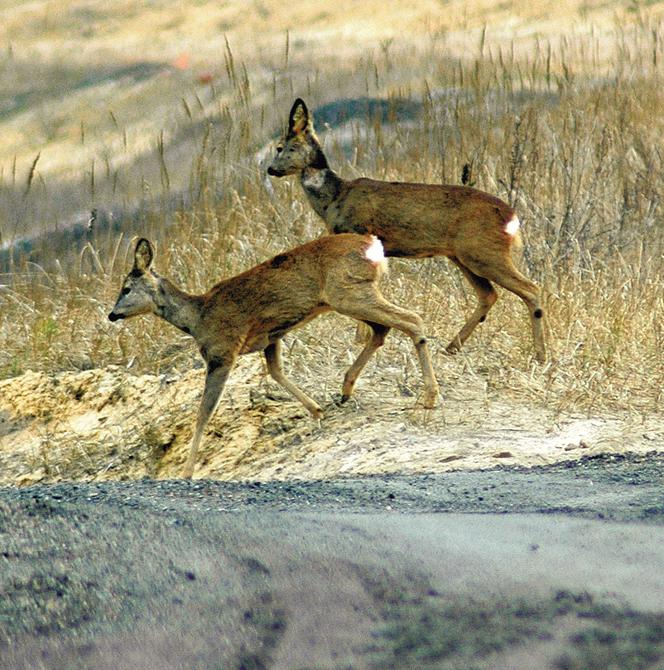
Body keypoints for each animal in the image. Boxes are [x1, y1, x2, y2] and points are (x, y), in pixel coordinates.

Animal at [109, 236, 440, 478]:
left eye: (126, 288)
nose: (112, 315)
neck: (197, 317)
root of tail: (373, 245)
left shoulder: (222, 352)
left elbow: (204, 413)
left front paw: (187, 471)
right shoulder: (271, 337)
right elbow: (276, 372)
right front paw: (317, 410)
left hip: (348, 292)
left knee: (411, 319)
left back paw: (429, 397)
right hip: (349, 296)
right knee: (383, 330)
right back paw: (346, 390)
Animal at [268, 97, 548, 364]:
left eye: (282, 147)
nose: (271, 169)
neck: (335, 197)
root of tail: (512, 217)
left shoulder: (356, 235)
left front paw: (359, 338)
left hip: (484, 252)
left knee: (530, 289)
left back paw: (540, 355)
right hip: (463, 256)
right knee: (488, 294)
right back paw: (451, 347)